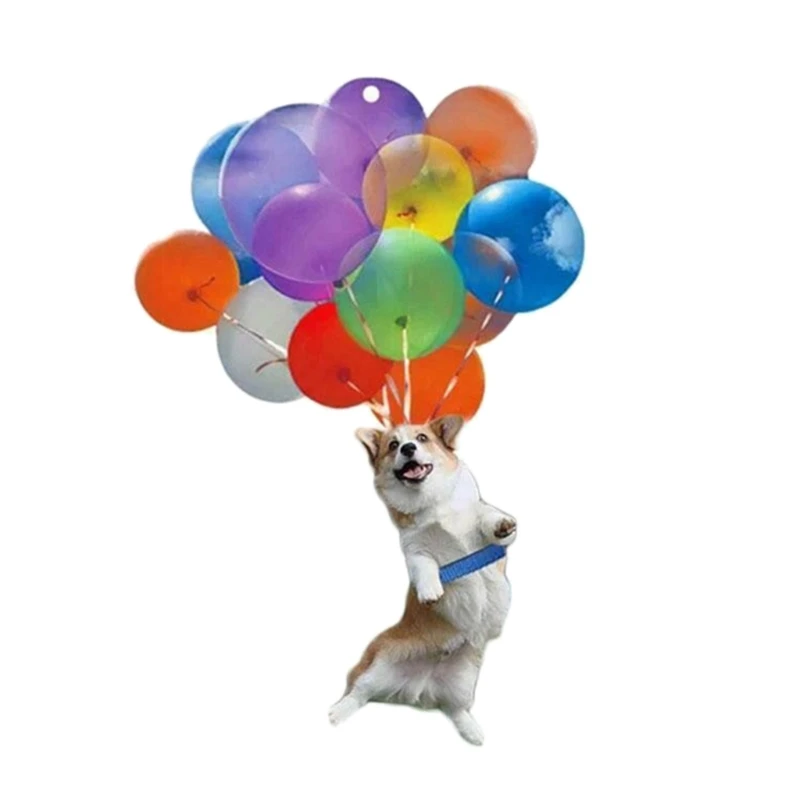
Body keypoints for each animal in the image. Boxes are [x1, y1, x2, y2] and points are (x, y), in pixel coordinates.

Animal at [328, 414, 517, 745]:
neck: (432, 504)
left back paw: (472, 731)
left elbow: (487, 516)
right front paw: (430, 590)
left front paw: (502, 524)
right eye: (393, 445)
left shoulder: (484, 531)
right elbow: (424, 563)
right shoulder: (414, 547)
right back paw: (337, 714)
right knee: (358, 693)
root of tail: (420, 688)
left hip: (464, 681)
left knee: (456, 709)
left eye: (422, 438)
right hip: (377, 662)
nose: (407, 448)